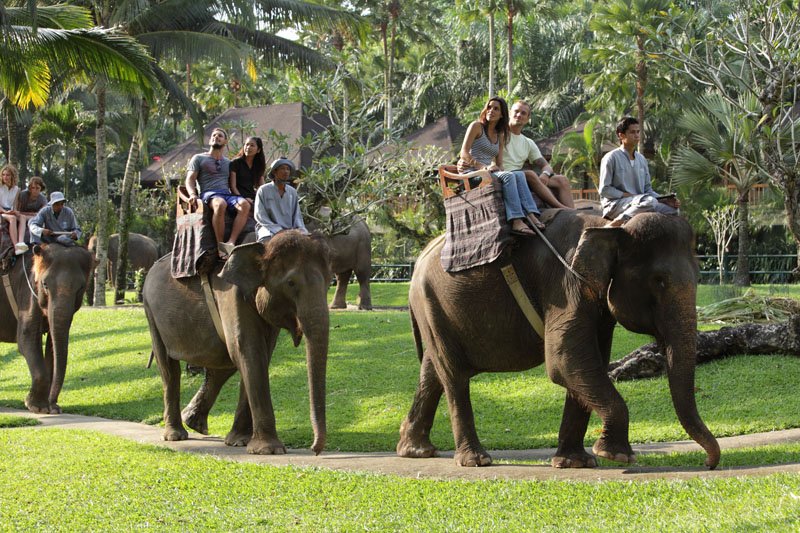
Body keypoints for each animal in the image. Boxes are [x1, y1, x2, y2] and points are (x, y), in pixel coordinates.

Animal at [0, 243, 93, 414]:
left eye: (81, 287)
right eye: (45, 285)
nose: (54, 405)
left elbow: (53, 344)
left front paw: (51, 408)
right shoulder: (28, 294)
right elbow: (27, 339)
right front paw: (38, 408)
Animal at [141, 231, 332, 456]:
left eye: (330, 281)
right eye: (291, 283)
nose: (315, 450)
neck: (262, 247)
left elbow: (259, 355)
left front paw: (239, 442)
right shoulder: (231, 296)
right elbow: (248, 352)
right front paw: (269, 450)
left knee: (222, 365)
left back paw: (194, 422)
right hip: (151, 311)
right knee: (169, 368)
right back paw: (175, 435)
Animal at [396, 210, 720, 468]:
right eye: (659, 281)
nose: (707, 463)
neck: (610, 226)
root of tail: (419, 258)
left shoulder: (595, 303)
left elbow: (587, 364)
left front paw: (575, 463)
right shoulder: (565, 285)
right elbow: (566, 361)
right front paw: (615, 456)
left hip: (435, 312)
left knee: (433, 370)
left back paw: (415, 451)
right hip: (432, 303)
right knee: (454, 376)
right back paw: (476, 460)